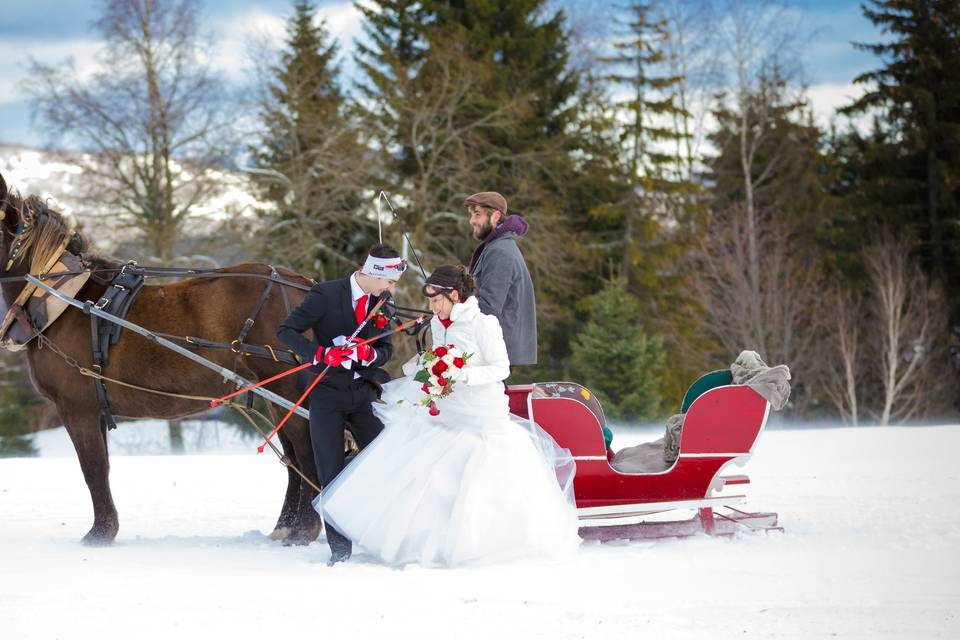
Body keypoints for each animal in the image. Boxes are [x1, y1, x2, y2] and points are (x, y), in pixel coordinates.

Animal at [0, 171, 322, 544]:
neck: (62, 301)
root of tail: (304, 284)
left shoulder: (77, 406)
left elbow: (93, 468)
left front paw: (100, 533)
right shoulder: (93, 409)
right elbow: (101, 467)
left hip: (287, 389)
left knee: (306, 449)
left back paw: (304, 529)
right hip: (273, 393)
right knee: (294, 456)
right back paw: (288, 526)